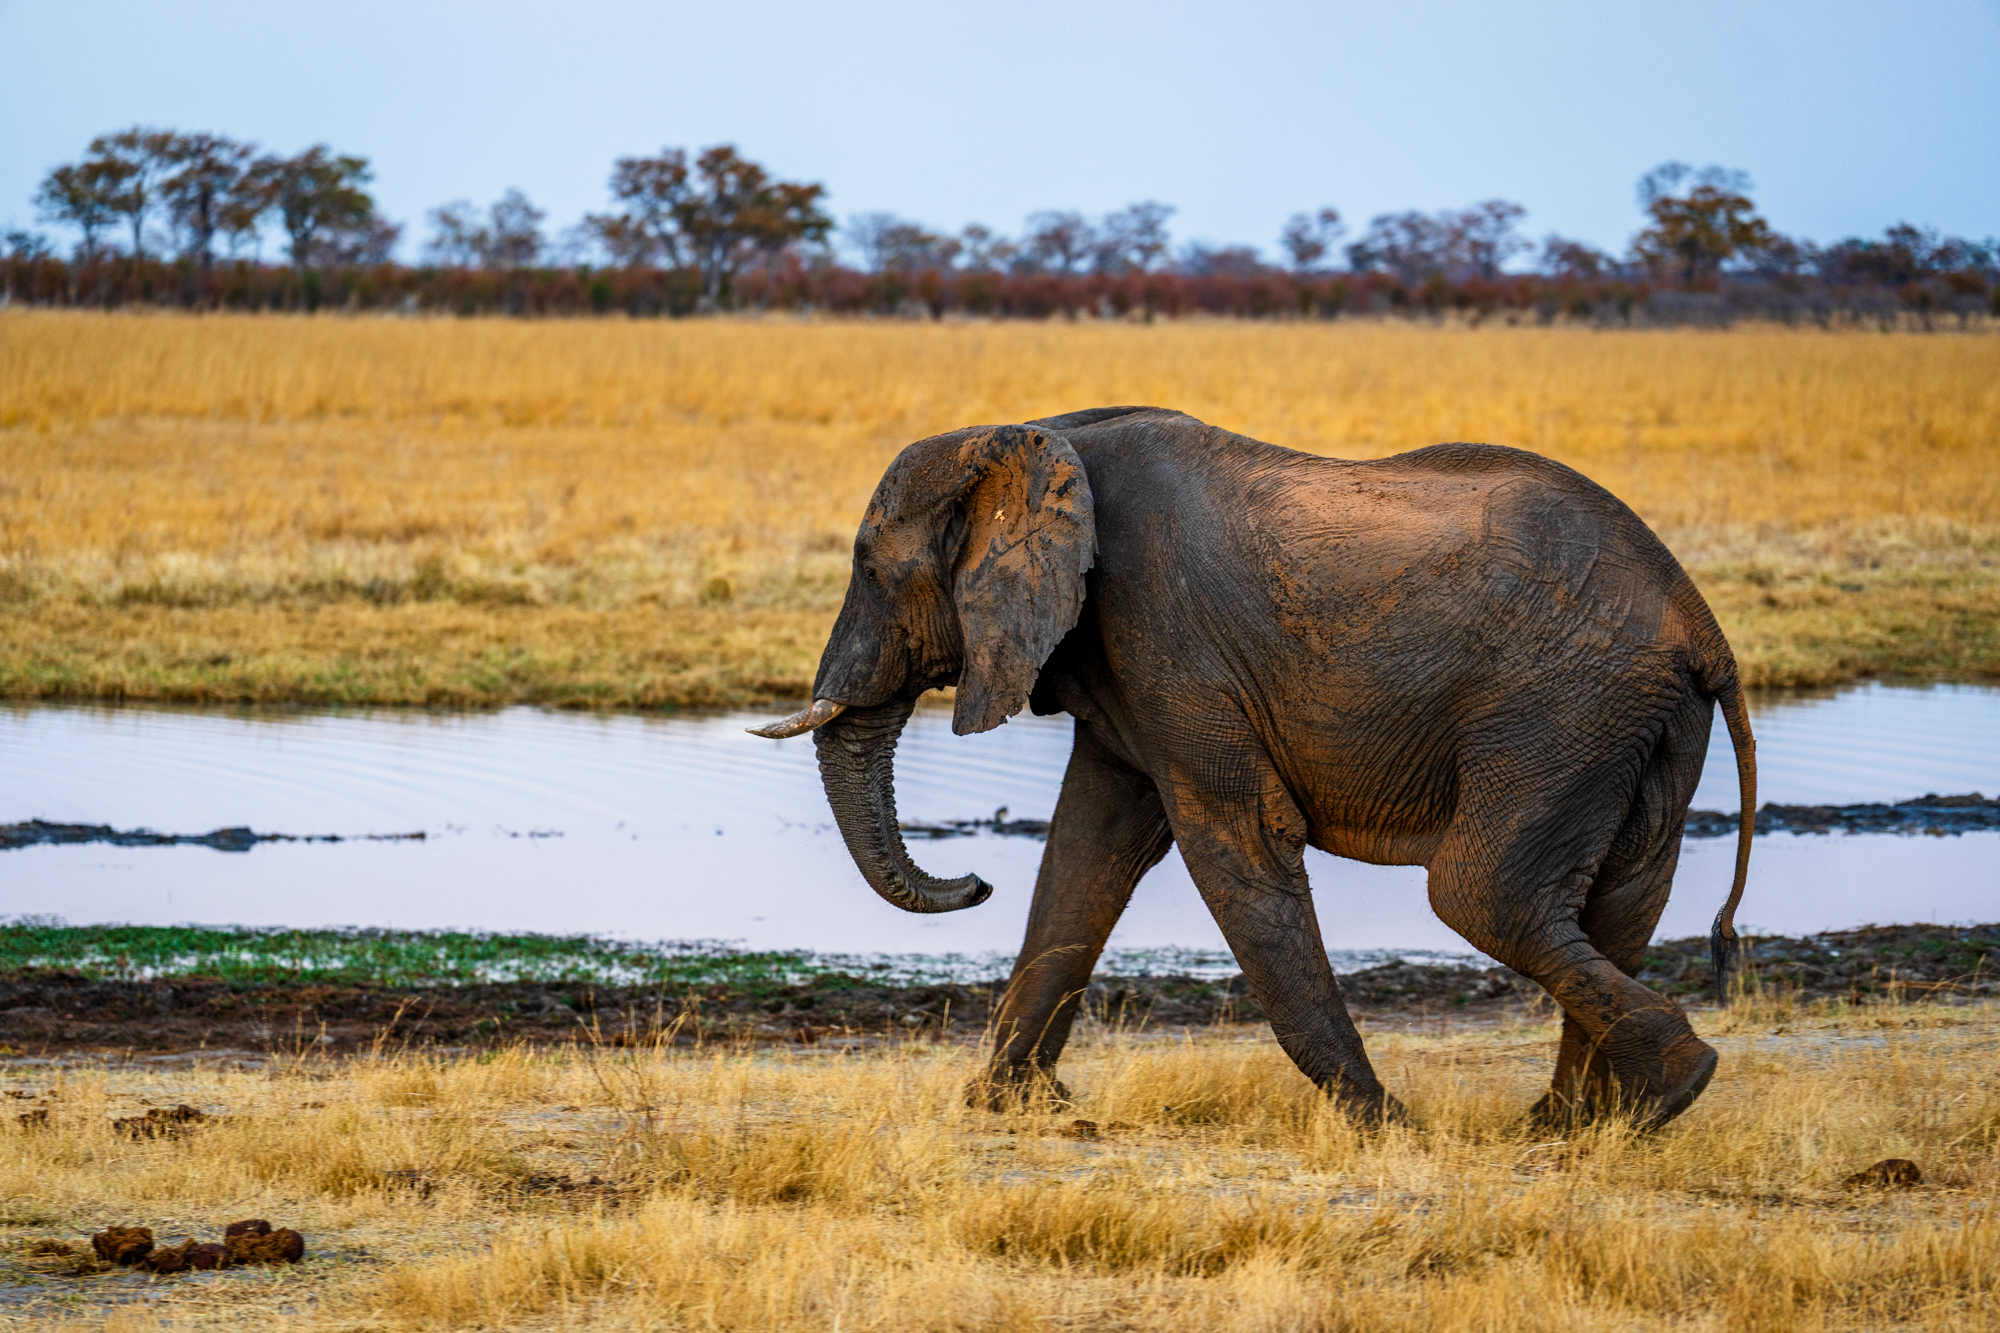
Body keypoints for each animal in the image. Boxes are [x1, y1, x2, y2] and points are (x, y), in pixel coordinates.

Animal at [751, 406, 1756, 1128]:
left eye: (869, 568)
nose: (973, 881)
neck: (1033, 435)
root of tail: (1701, 621)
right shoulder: (1122, 663)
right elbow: (1085, 853)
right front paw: (1003, 1106)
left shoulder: (1167, 640)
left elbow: (1232, 846)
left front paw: (1383, 1125)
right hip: (1636, 723)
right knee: (1621, 898)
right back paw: (1583, 1124)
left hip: (1562, 709)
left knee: (1483, 895)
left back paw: (1670, 1089)